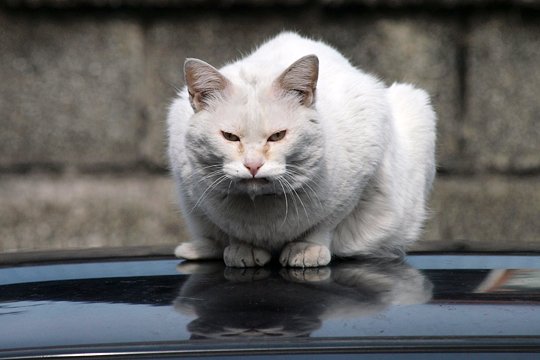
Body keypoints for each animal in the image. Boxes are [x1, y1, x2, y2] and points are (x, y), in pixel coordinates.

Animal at [167, 31, 436, 268]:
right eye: (230, 137)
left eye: (277, 136)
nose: (253, 165)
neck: (263, 210)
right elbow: (230, 228)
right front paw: (245, 248)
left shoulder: (362, 168)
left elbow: (325, 223)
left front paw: (306, 249)